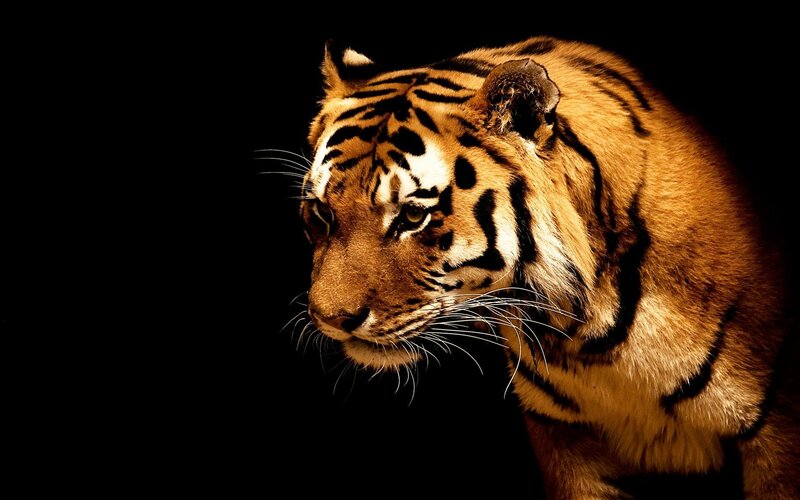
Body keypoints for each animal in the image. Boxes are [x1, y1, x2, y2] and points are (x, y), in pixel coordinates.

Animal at [297, 37, 799, 498]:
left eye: (413, 215)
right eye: (320, 213)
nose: (331, 319)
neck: (586, 336)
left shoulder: (776, 434)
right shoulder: (564, 436)